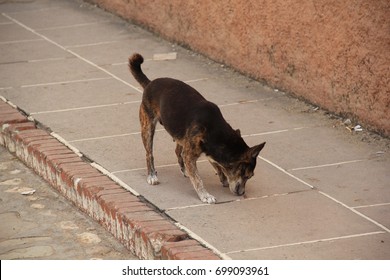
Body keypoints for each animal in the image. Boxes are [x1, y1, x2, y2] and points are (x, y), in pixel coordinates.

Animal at [128, 53, 266, 203]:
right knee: (149, 153)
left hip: (179, 135)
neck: (215, 131)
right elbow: (198, 178)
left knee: (177, 151)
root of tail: (150, 83)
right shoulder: (190, 154)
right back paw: (152, 175)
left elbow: (215, 163)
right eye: (247, 176)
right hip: (148, 127)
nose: (242, 193)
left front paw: (221, 176)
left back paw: (184, 170)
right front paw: (205, 195)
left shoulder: (206, 150)